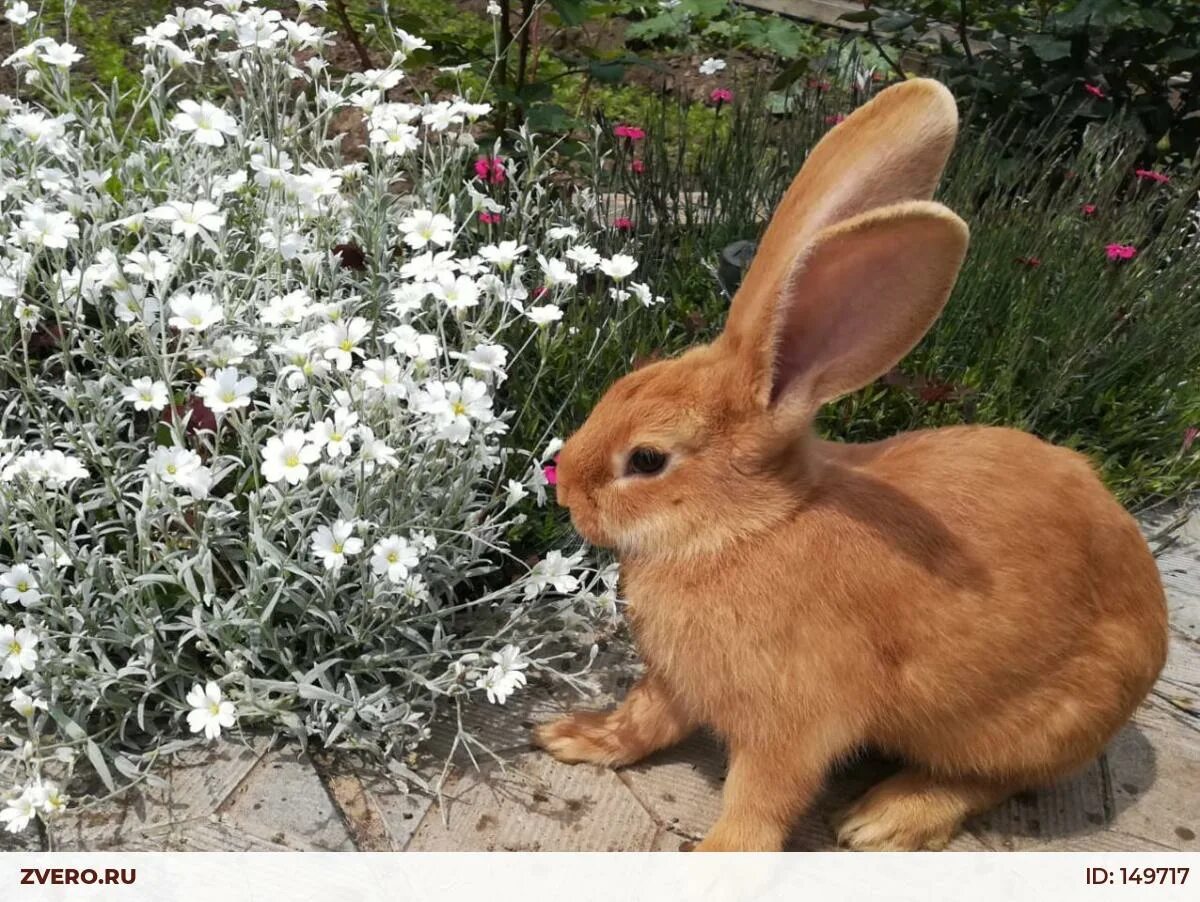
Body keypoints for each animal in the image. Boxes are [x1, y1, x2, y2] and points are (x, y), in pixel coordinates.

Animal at [532, 78, 1168, 852]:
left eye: (648, 460)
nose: (568, 493)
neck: (747, 529)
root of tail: (1156, 630)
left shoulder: (794, 721)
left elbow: (762, 798)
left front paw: (716, 858)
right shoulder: (678, 682)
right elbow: (645, 719)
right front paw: (575, 737)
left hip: (1032, 724)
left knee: (991, 778)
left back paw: (884, 818)